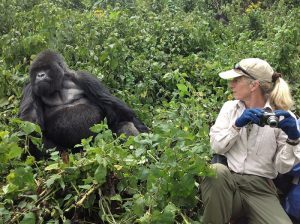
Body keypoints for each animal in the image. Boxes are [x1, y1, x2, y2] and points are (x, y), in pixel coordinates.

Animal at [19, 49, 148, 157]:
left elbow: (117, 109)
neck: (59, 85)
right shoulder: (30, 89)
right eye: (36, 70)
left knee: (124, 123)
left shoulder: (84, 77)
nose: (40, 75)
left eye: (46, 68)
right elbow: (28, 125)